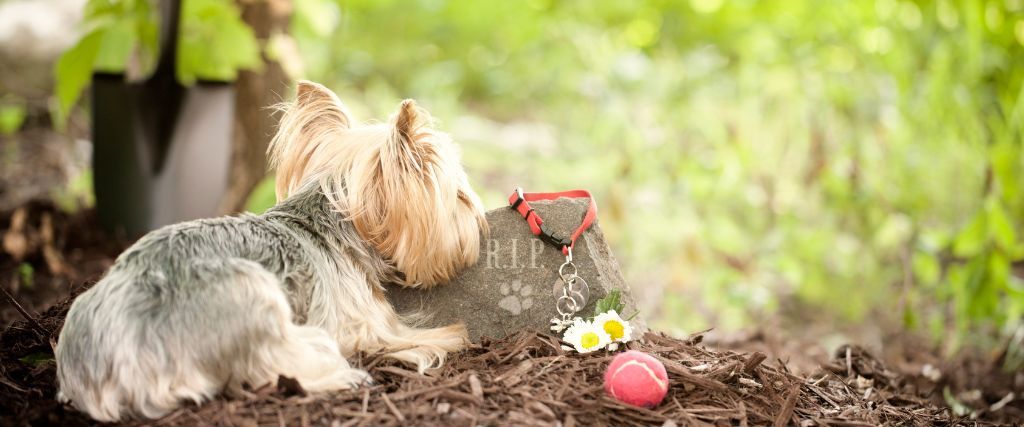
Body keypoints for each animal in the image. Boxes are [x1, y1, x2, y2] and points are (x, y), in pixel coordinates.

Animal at [55, 80, 487, 419]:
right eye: (461, 197)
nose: (478, 222)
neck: (332, 215)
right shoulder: (362, 323)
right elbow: (414, 336)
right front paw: (447, 338)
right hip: (251, 292)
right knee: (276, 365)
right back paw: (345, 375)